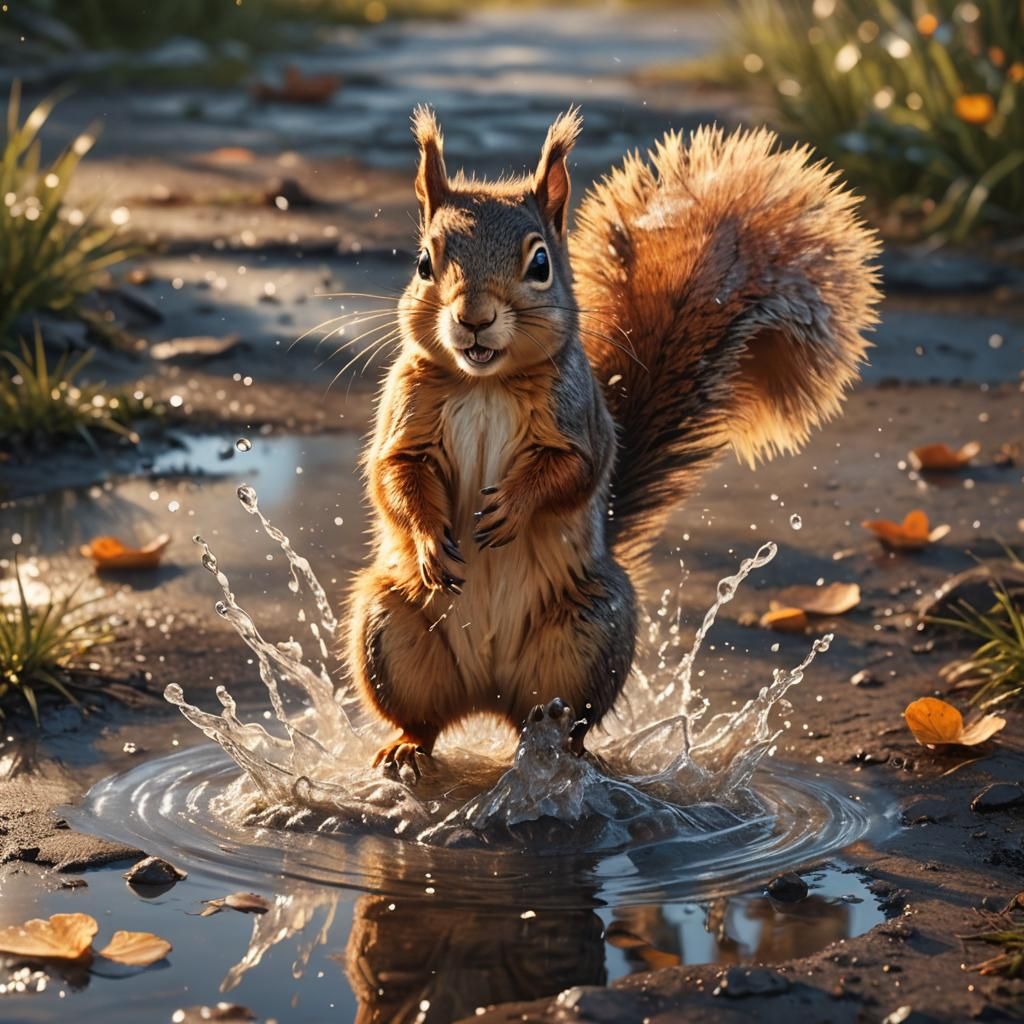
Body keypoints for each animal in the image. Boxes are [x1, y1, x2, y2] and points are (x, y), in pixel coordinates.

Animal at [346, 106, 881, 773]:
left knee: (559, 720)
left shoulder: (581, 423)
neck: (485, 383)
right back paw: (406, 749)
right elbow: (394, 475)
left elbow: (571, 471)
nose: (473, 318)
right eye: (424, 263)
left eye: (541, 264)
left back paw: (564, 754)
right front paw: (427, 542)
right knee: (426, 719)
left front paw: (511, 507)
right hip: (387, 628)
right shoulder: (406, 415)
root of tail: (489, 696)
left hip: (592, 628)